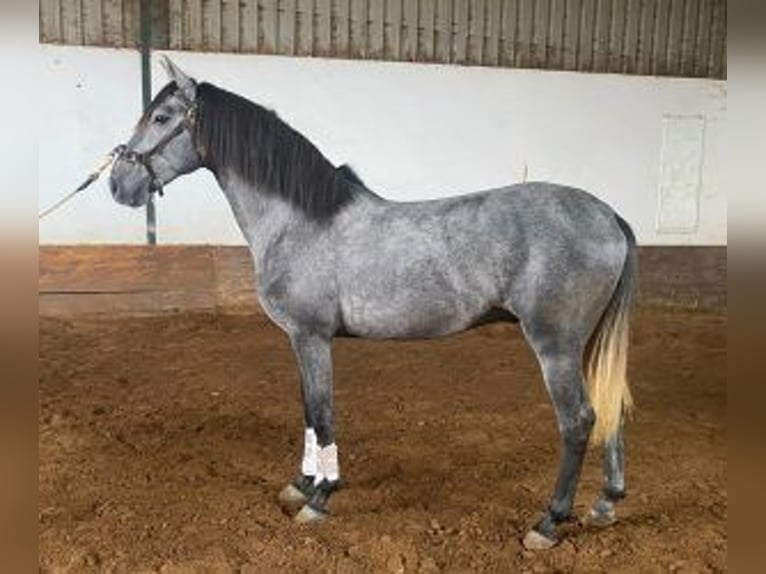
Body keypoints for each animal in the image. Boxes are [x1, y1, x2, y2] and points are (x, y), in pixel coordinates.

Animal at [108, 58, 636, 552]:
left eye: (161, 117)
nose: (118, 184)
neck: (299, 220)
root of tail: (609, 215)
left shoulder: (312, 337)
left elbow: (322, 413)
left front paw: (321, 498)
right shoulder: (299, 340)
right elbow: (307, 410)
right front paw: (301, 485)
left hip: (554, 344)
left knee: (578, 421)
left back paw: (549, 521)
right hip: (586, 342)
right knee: (608, 408)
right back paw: (605, 504)